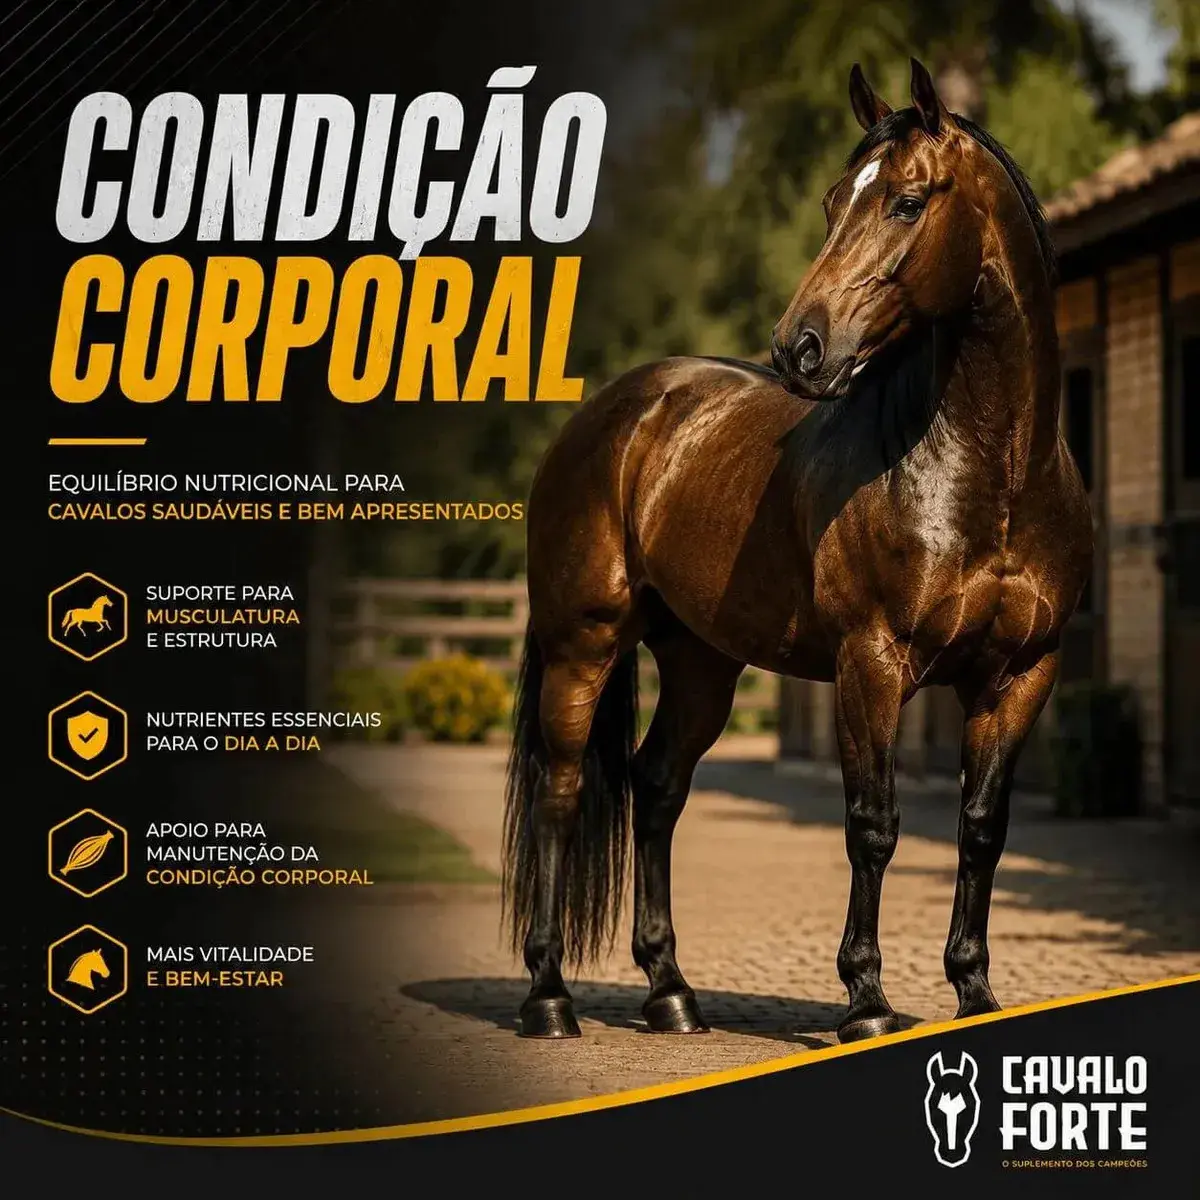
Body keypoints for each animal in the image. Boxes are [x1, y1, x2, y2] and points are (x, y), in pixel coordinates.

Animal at [502, 58, 1093, 1044]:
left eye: (907, 201)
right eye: (830, 202)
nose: (800, 347)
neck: (993, 478)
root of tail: (613, 414)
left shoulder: (1020, 675)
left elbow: (981, 826)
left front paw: (973, 991)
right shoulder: (873, 663)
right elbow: (873, 824)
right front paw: (868, 1002)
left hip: (701, 664)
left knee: (656, 787)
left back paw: (672, 995)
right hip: (585, 645)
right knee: (563, 790)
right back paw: (549, 998)